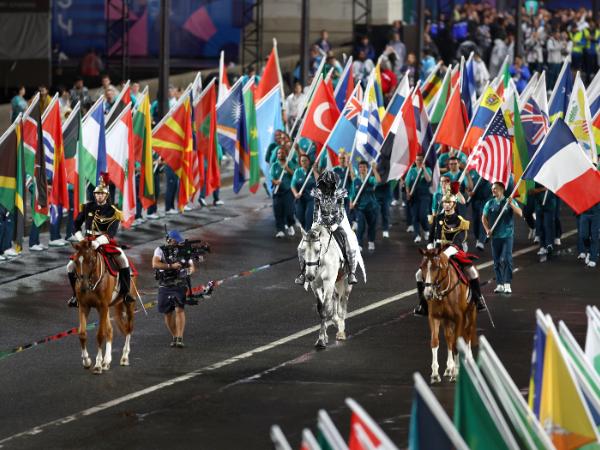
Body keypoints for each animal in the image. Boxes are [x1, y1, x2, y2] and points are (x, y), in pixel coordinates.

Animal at [71, 241, 135, 374]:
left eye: (91, 260)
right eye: (75, 261)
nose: (83, 286)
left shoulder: (103, 306)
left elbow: (100, 335)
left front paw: (98, 364)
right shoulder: (84, 306)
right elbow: (82, 334)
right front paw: (87, 361)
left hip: (128, 305)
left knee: (129, 329)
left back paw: (124, 357)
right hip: (105, 309)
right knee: (110, 331)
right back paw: (107, 361)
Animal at [418, 246, 478, 384]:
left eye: (436, 267)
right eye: (422, 266)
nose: (428, 293)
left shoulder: (460, 318)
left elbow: (457, 343)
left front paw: (456, 373)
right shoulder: (434, 317)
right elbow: (435, 342)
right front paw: (435, 374)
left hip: (471, 313)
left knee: (467, 334)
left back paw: (468, 361)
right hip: (446, 320)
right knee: (449, 337)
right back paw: (449, 368)